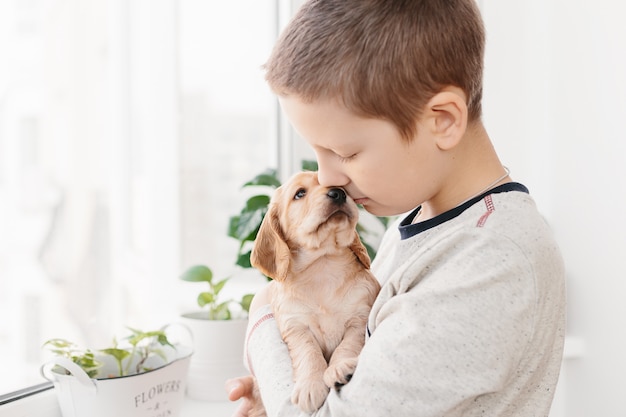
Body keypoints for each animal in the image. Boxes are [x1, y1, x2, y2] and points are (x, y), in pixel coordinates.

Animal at [249, 171, 380, 412]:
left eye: (340, 186)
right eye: (300, 194)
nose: (339, 193)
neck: (323, 264)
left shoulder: (359, 319)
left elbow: (347, 346)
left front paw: (340, 368)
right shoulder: (295, 326)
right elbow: (308, 352)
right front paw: (310, 385)